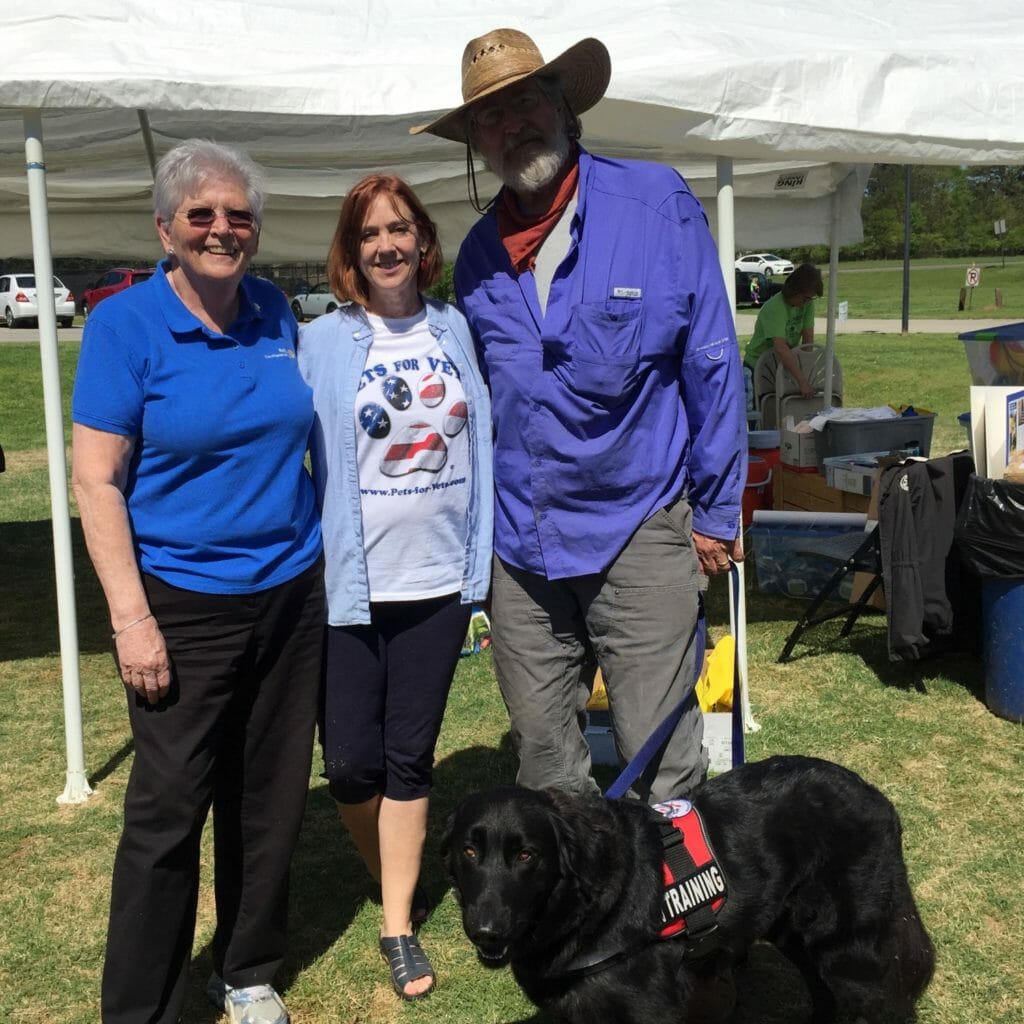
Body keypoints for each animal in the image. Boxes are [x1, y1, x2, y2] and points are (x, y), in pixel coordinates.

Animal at [442, 753, 937, 1024]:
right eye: (469, 851)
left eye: (527, 855)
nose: (486, 931)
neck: (588, 904)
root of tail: (877, 798)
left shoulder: (649, 1014)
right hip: (796, 933)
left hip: (852, 953)